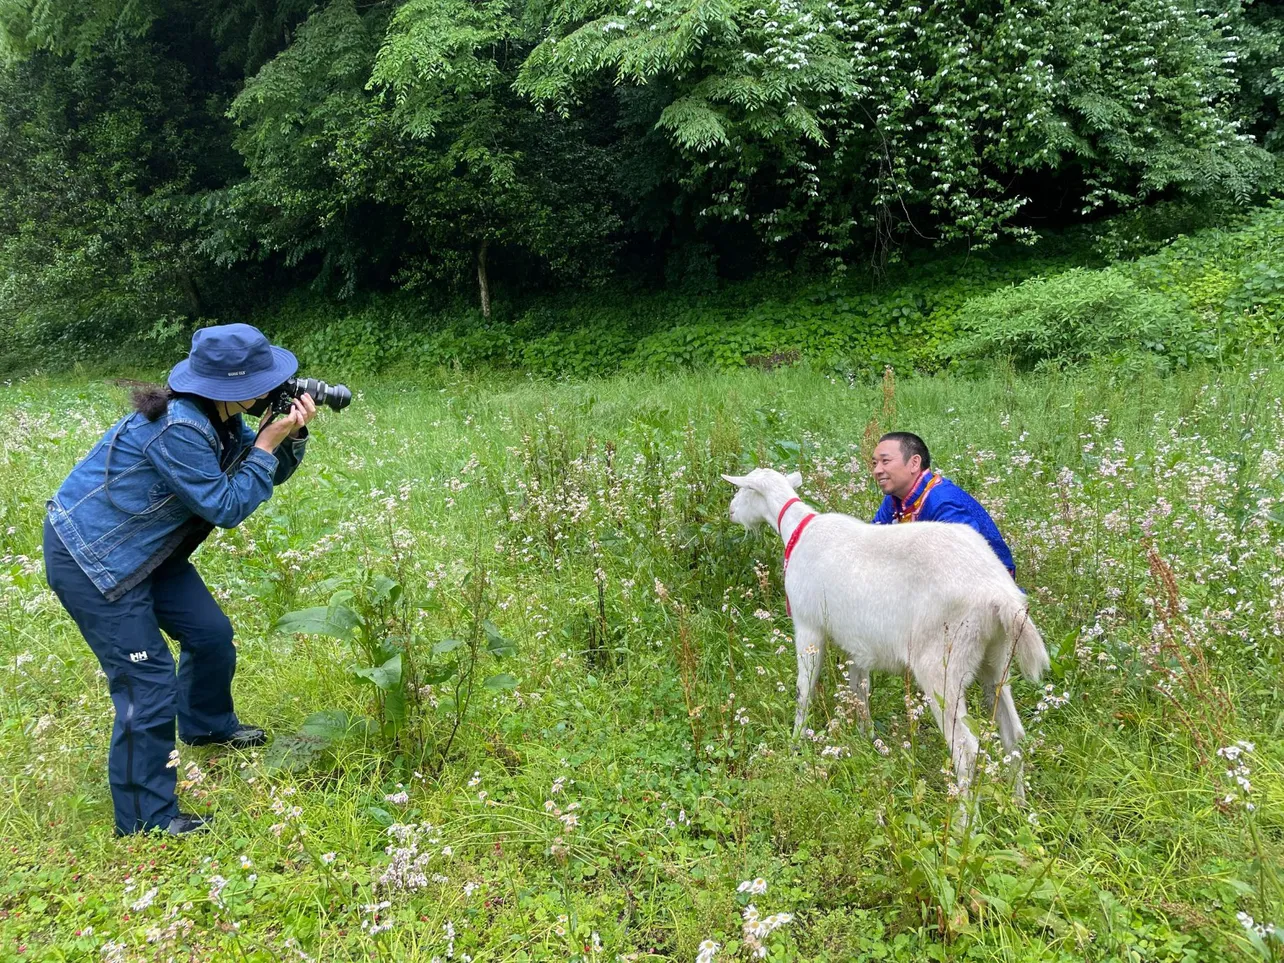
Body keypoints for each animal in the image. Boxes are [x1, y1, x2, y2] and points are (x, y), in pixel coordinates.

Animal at [729, 469, 1047, 801]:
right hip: (996, 658)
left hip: (943, 662)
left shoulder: (808, 624)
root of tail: (999, 593)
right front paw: (866, 737)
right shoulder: (858, 642)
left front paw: (795, 742)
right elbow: (859, 688)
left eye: (743, 490)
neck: (798, 529)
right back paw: (1019, 804)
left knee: (966, 748)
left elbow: (804, 688)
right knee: (1014, 733)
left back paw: (964, 815)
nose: (731, 511)